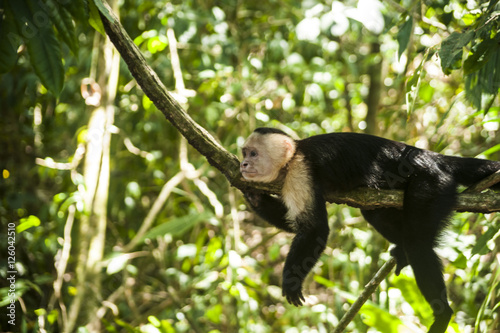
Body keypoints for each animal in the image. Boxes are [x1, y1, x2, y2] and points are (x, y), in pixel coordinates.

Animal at [240, 126, 498, 332]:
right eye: (244, 153)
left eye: (253, 154)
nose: (242, 164)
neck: (293, 156)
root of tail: (429, 155)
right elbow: (292, 224)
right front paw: (252, 194)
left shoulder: (299, 171)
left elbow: (314, 229)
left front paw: (291, 281)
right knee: (375, 213)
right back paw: (402, 252)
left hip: (432, 181)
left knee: (417, 244)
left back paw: (443, 313)